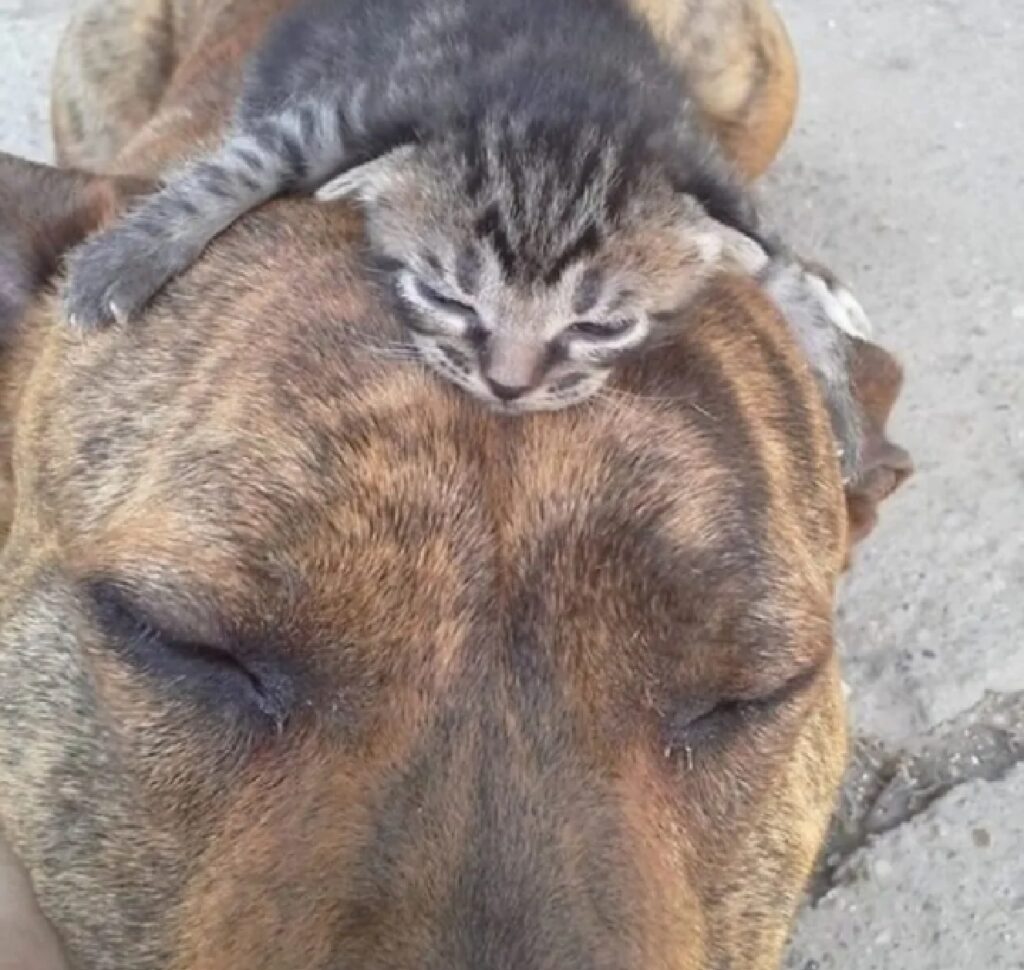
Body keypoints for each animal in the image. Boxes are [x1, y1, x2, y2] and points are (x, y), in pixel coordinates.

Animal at [61, 0, 823, 422]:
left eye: (600, 327)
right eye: (445, 298)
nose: (508, 386)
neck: (565, 99)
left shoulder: (698, 153)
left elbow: (786, 268)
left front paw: (833, 399)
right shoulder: (357, 110)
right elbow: (246, 161)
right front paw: (122, 257)